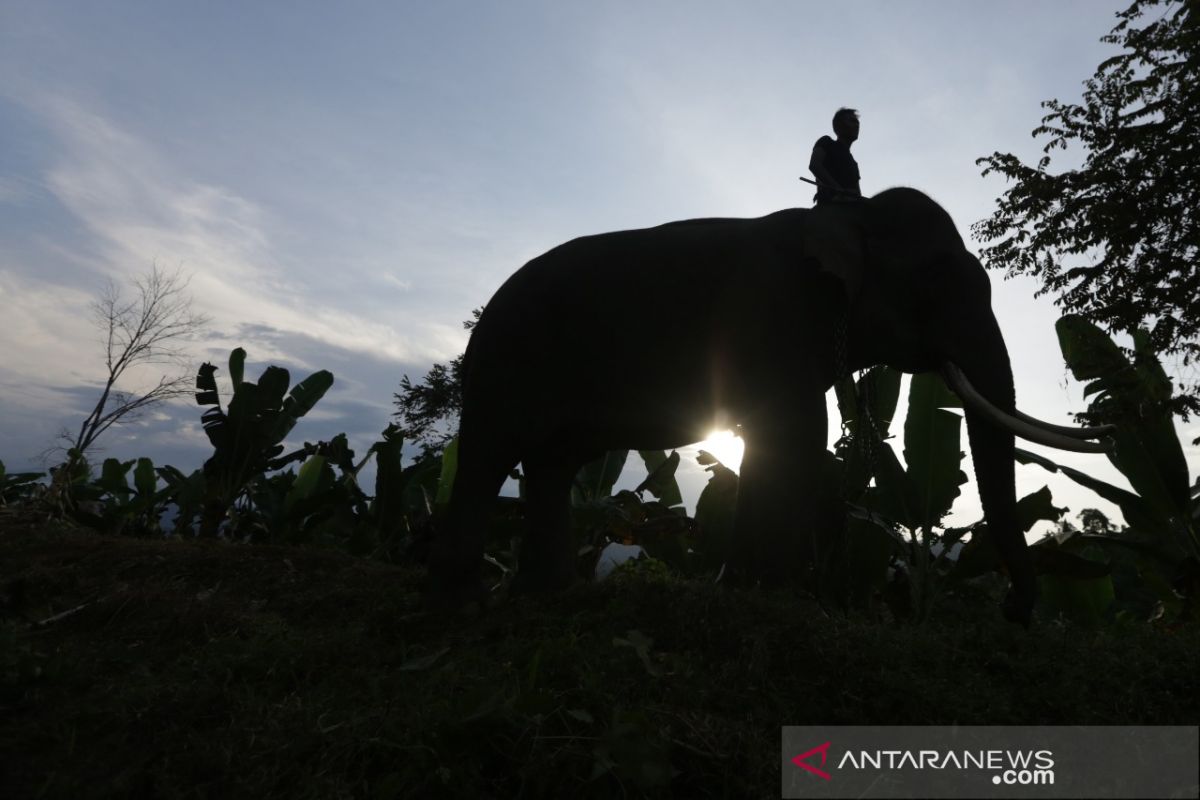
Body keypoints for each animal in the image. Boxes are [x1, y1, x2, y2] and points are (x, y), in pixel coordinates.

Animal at [427, 185, 1108, 623]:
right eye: (937, 282)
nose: (1016, 611)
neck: (849, 217)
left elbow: (780, 435)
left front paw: (743, 589)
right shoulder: (773, 315)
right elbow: (796, 432)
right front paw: (775, 597)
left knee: (552, 466)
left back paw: (551, 599)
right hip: (507, 359)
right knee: (489, 454)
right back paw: (468, 606)